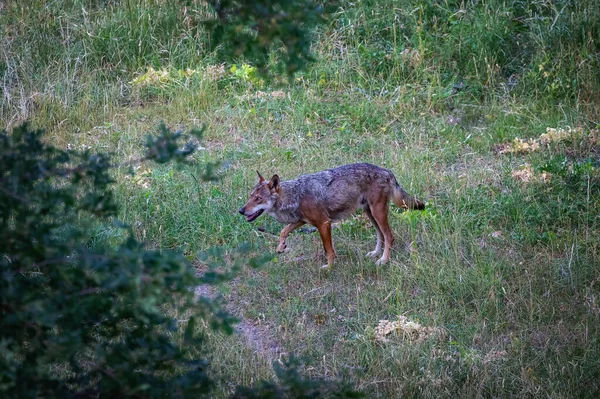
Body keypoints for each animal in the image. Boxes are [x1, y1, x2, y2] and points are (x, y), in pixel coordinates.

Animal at [237, 162, 424, 268]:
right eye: (250, 197)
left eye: (258, 199)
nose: (241, 210)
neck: (296, 195)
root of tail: (386, 171)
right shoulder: (302, 221)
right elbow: (284, 231)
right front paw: (281, 247)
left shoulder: (323, 223)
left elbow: (329, 250)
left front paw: (329, 267)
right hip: (370, 214)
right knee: (381, 235)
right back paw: (375, 254)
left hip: (377, 213)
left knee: (389, 236)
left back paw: (383, 261)